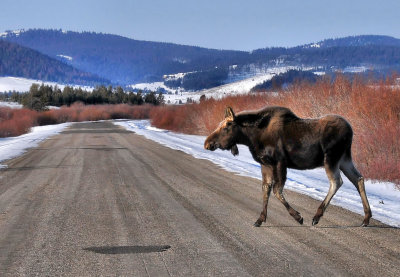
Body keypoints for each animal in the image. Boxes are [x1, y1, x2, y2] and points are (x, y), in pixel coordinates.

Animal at [205, 105, 374, 226]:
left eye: (226, 126)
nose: (208, 143)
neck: (251, 138)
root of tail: (350, 130)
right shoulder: (266, 164)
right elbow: (266, 189)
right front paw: (260, 219)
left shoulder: (280, 162)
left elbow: (276, 190)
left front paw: (298, 217)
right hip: (344, 159)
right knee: (358, 178)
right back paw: (366, 218)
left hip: (331, 158)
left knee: (337, 181)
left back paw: (317, 216)